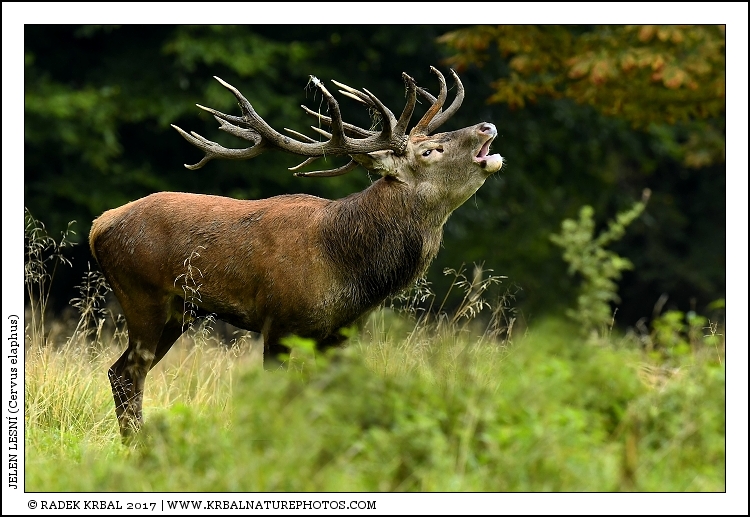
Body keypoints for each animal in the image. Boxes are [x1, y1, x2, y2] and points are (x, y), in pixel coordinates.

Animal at [89, 67, 504, 437]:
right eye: (430, 150)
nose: (486, 126)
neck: (348, 265)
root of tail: (99, 225)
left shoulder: (341, 333)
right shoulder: (279, 322)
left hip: (180, 311)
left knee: (120, 370)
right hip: (142, 294)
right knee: (128, 373)